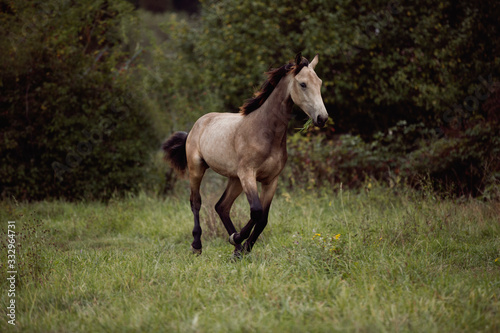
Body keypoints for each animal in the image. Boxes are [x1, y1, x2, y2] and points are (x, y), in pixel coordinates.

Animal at [162, 53, 330, 255]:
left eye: (319, 83)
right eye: (303, 84)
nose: (322, 118)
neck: (264, 131)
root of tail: (196, 125)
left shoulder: (271, 180)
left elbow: (263, 218)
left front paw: (243, 248)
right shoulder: (248, 174)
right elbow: (256, 211)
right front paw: (237, 239)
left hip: (234, 179)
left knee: (222, 206)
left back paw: (236, 248)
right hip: (197, 168)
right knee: (196, 202)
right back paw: (197, 245)